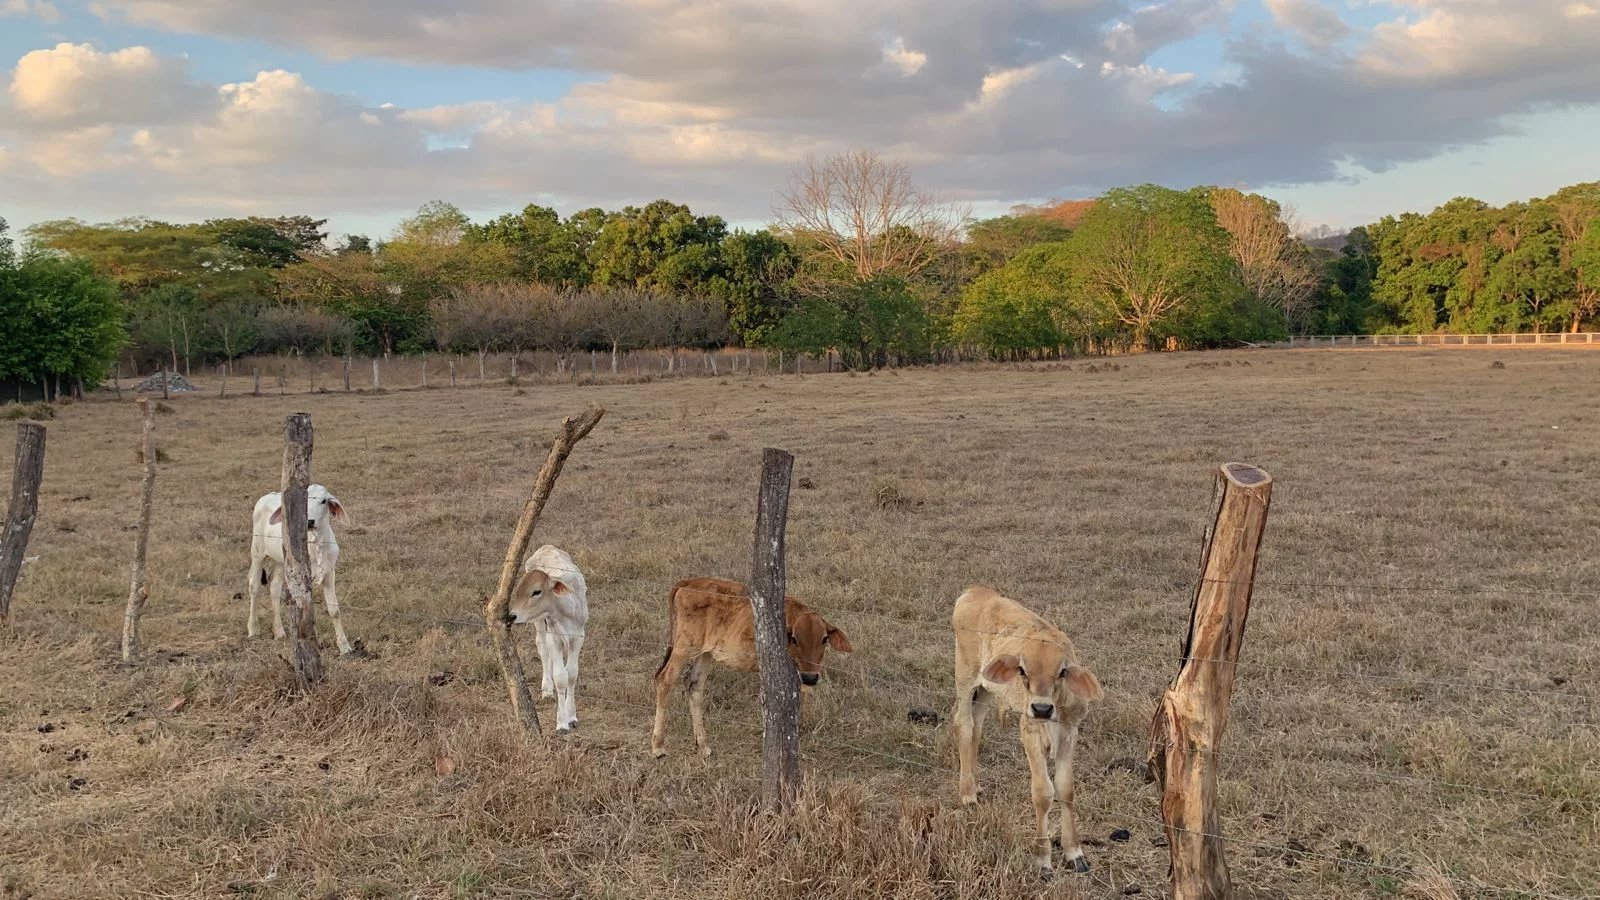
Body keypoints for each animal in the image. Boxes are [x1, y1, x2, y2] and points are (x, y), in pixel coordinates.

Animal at [246, 483, 356, 650]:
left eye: (324, 501)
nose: (309, 521)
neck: (317, 545)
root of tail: (267, 496)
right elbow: (307, 609)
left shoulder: (330, 572)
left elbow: (334, 610)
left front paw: (344, 646)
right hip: (257, 552)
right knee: (254, 586)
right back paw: (253, 629)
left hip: (281, 561)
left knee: (275, 588)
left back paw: (279, 631)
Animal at [505, 544, 588, 733]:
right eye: (518, 591)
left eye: (536, 591)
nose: (512, 616)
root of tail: (546, 547)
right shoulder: (554, 638)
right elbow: (560, 677)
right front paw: (562, 722)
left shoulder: (578, 637)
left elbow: (572, 674)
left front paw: (572, 716)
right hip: (539, 623)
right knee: (543, 648)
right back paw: (547, 689)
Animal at [649, 573, 851, 755]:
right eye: (794, 638)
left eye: (824, 639)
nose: (810, 677)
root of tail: (689, 581)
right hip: (684, 647)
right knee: (665, 680)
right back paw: (658, 746)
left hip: (705, 653)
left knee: (694, 685)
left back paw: (703, 746)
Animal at [947, 582, 1100, 877]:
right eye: (1022, 669)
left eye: (1062, 672)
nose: (1041, 708)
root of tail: (975, 591)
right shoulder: (1030, 733)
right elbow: (1043, 792)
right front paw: (1043, 860)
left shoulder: (1070, 733)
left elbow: (1066, 789)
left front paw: (1074, 853)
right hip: (965, 677)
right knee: (964, 724)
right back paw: (968, 792)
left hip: (986, 688)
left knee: (977, 726)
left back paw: (977, 784)